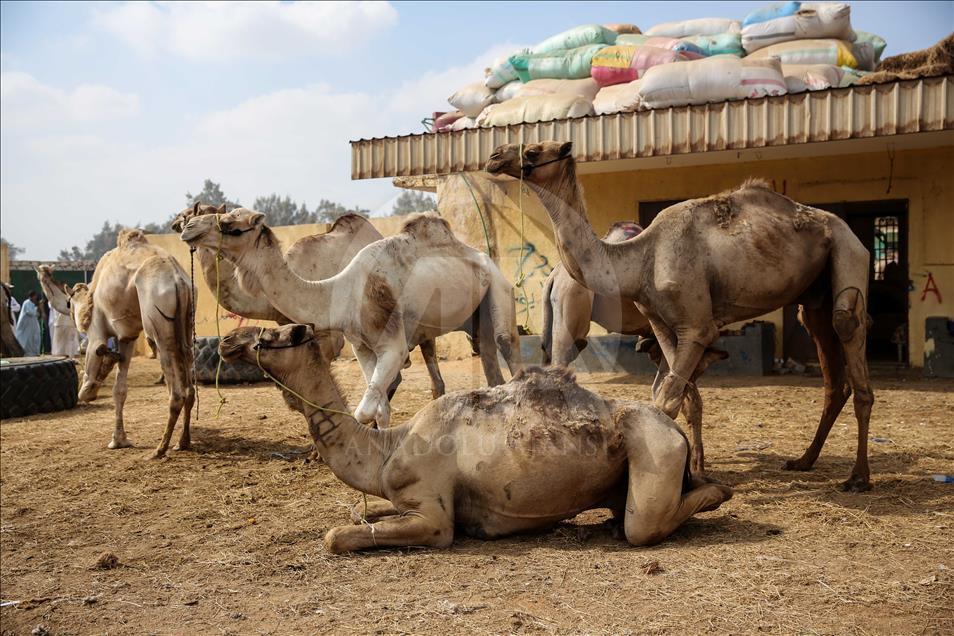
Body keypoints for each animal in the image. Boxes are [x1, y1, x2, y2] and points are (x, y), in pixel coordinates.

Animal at [41, 231, 194, 454]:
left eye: (69, 303)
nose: (44, 269)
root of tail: (178, 279)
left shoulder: (96, 331)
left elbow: (90, 368)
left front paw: (89, 390)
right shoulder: (127, 337)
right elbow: (119, 390)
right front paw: (119, 440)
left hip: (157, 318)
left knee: (174, 387)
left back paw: (159, 449)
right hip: (188, 321)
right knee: (189, 383)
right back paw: (182, 442)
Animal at [178, 209, 520, 428]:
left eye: (229, 225)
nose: (187, 227)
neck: (342, 292)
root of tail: (484, 257)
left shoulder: (392, 346)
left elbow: (364, 411)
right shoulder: (362, 346)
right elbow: (380, 409)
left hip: (500, 289)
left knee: (508, 346)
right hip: (475, 316)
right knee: (489, 363)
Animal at [219, 322, 732, 552]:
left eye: (272, 336)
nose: (225, 341)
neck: (386, 448)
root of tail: (673, 431)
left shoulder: (434, 519)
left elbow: (336, 535)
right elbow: (361, 513)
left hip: (655, 454)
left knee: (644, 524)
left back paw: (719, 491)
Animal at [488, 143, 872, 492]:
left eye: (534, 151)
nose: (494, 156)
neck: (640, 258)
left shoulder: (696, 326)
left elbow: (670, 400)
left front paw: (686, 475)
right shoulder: (663, 325)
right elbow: (682, 397)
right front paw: (693, 471)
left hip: (847, 250)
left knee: (846, 329)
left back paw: (857, 477)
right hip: (815, 297)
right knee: (830, 365)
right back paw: (805, 460)